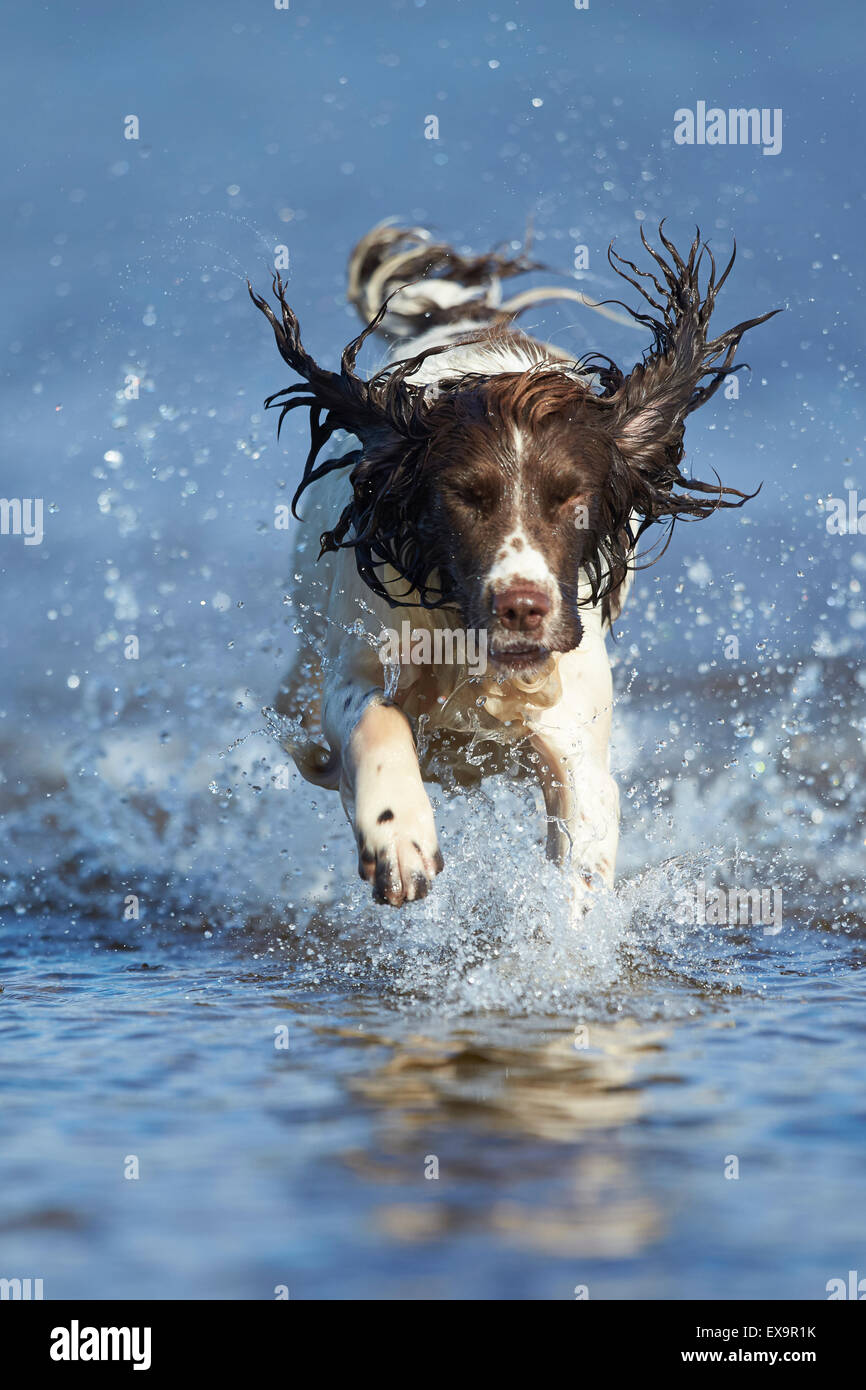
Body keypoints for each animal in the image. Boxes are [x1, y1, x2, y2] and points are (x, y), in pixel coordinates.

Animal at [248, 219, 778, 911]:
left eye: (573, 500)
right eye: (465, 497)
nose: (521, 608)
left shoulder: (576, 745)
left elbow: (580, 865)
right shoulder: (358, 665)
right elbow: (376, 720)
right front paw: (399, 835)